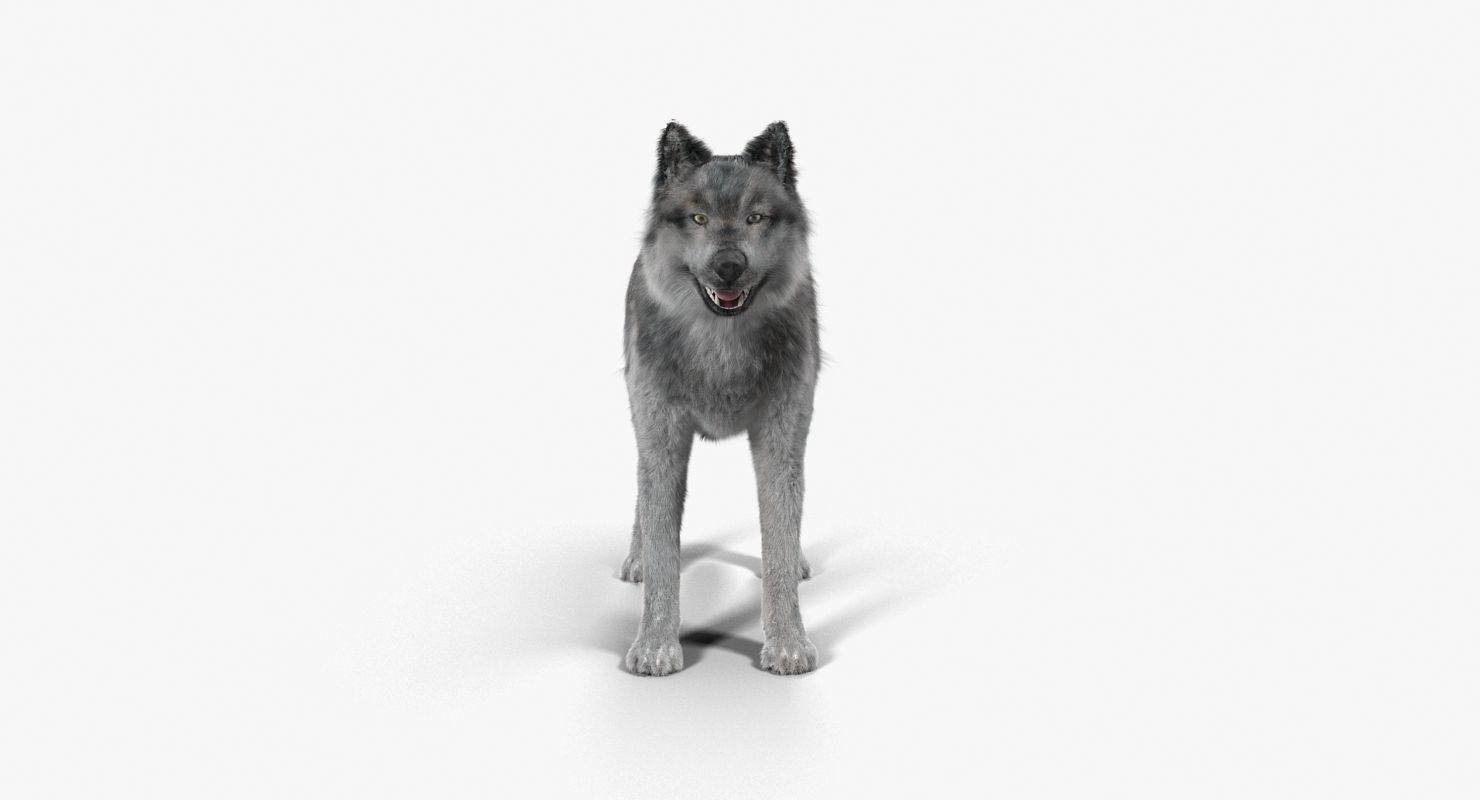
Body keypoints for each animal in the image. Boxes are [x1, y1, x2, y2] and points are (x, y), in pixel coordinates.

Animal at [619, 121, 820, 676]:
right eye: (699, 218)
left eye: (755, 217)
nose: (729, 266)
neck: (721, 350)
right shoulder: (662, 440)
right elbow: (663, 548)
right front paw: (656, 646)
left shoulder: (780, 442)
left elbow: (778, 538)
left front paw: (788, 644)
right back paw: (635, 559)